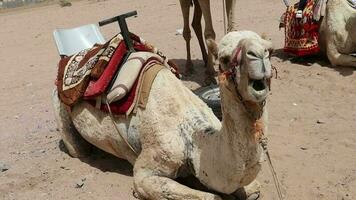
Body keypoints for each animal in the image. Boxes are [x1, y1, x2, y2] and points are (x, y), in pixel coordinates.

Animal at [51, 30, 272, 199]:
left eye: (268, 50)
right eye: (224, 59)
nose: (259, 56)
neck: (192, 135)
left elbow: (254, 188)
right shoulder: (147, 171)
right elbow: (212, 196)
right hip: (60, 108)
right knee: (78, 149)